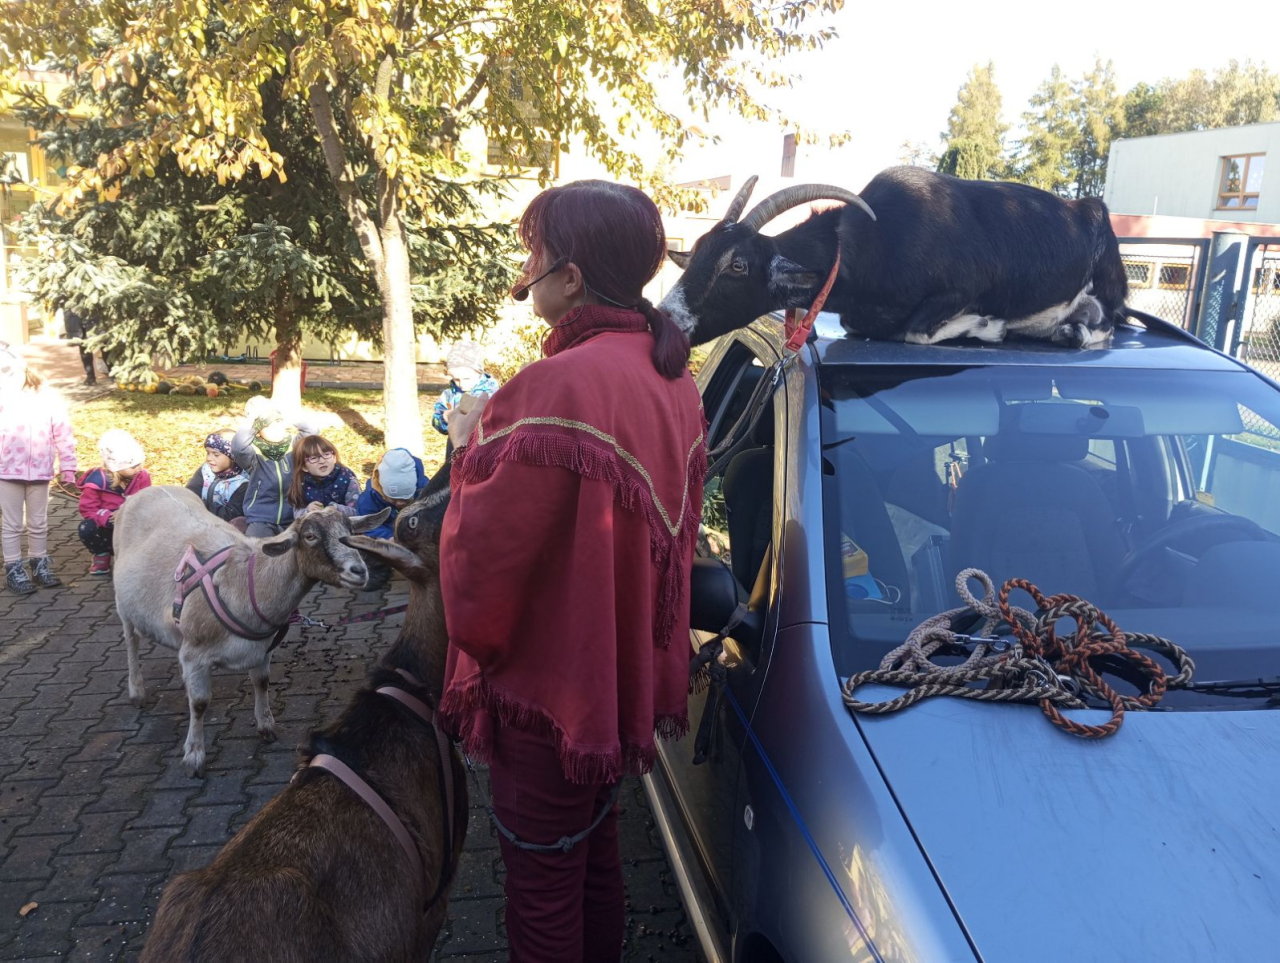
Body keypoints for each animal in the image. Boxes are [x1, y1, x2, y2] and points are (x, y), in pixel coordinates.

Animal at [112, 485, 390, 776]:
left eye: (351, 533)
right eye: (310, 536)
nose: (359, 571)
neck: (249, 582)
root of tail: (151, 489)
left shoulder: (262, 650)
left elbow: (262, 682)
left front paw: (266, 726)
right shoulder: (196, 654)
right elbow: (199, 704)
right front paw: (194, 756)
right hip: (123, 603)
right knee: (131, 641)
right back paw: (136, 691)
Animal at [661, 166, 1129, 349]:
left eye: (737, 265)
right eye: (697, 252)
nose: (668, 318)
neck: (866, 244)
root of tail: (1087, 209)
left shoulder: (962, 288)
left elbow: (917, 331)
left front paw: (988, 326)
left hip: (1108, 286)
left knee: (1108, 322)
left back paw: (1068, 330)